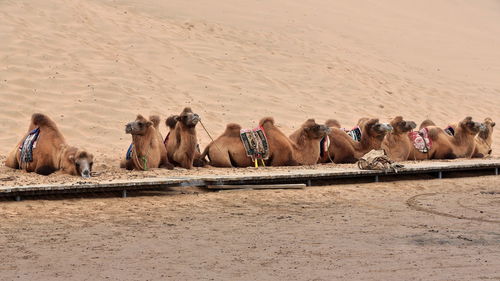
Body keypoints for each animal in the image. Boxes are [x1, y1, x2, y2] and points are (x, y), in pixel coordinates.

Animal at [199, 116, 332, 166]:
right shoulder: (279, 160)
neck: (296, 153)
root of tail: (210, 144)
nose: (328, 127)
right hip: (221, 155)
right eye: (316, 127)